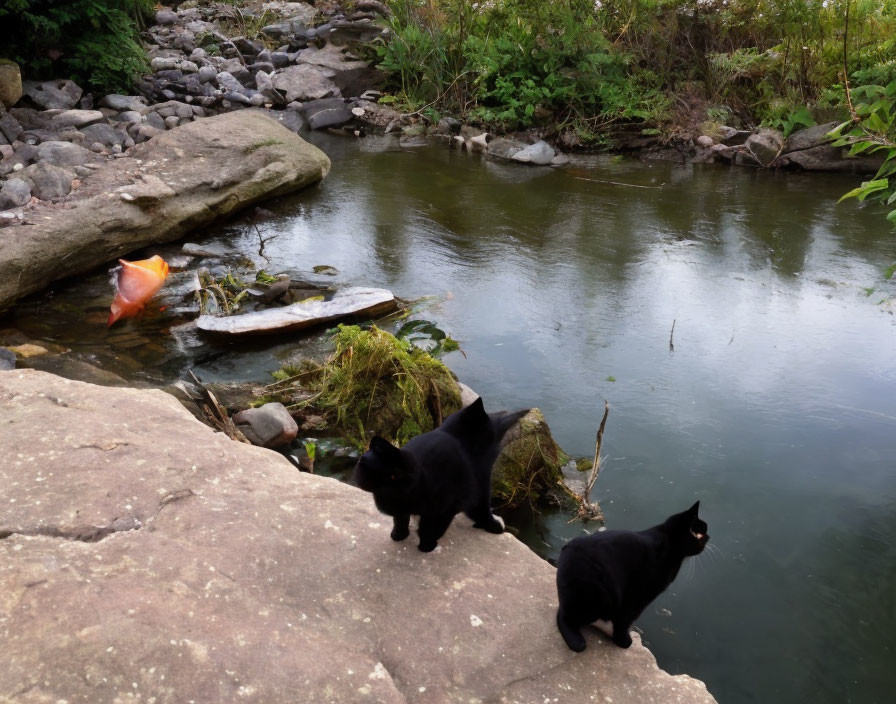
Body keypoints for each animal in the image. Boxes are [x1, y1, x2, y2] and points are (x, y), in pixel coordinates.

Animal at [354, 398, 528, 552]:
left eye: (394, 475)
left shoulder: (448, 506)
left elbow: (419, 525)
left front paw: (413, 541)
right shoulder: (471, 494)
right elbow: (418, 525)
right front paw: (421, 544)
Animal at [552, 500, 708, 648]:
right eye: (700, 535)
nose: (709, 537)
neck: (667, 542)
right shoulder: (638, 595)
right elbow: (626, 619)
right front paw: (623, 641)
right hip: (597, 595)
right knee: (563, 616)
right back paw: (577, 640)